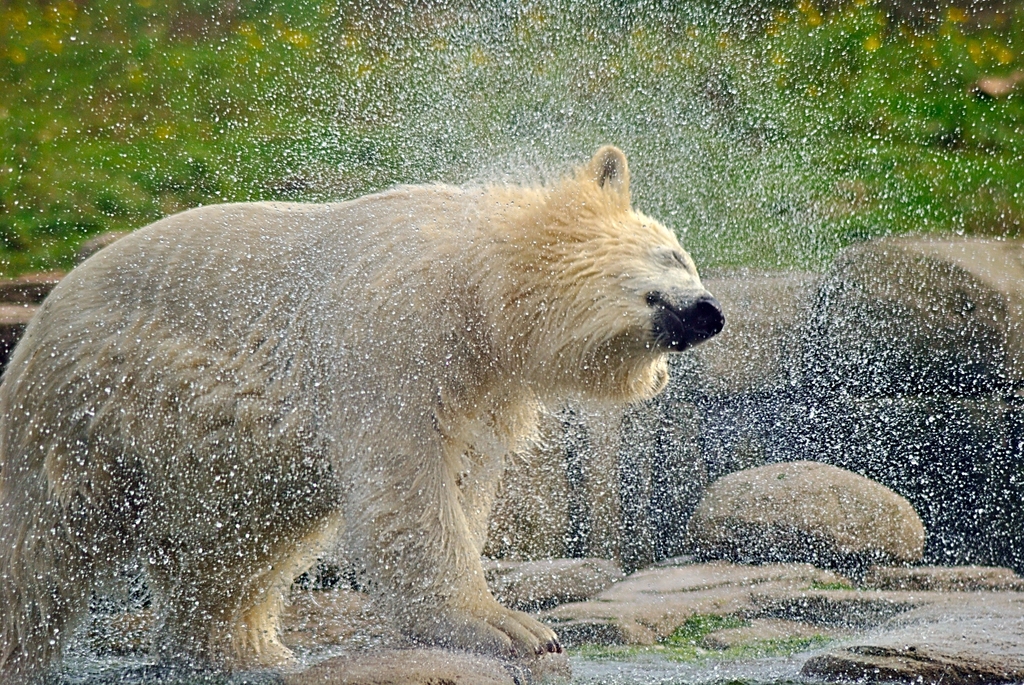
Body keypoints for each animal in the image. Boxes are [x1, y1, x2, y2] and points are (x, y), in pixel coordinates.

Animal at [0, 146, 723, 681]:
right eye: (675, 256)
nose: (711, 312)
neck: (476, 281)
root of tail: (38, 322)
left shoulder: (483, 385)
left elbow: (463, 479)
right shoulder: (396, 334)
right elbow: (408, 488)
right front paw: (510, 626)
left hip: (199, 454)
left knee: (234, 551)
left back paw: (250, 652)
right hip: (80, 414)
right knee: (36, 554)